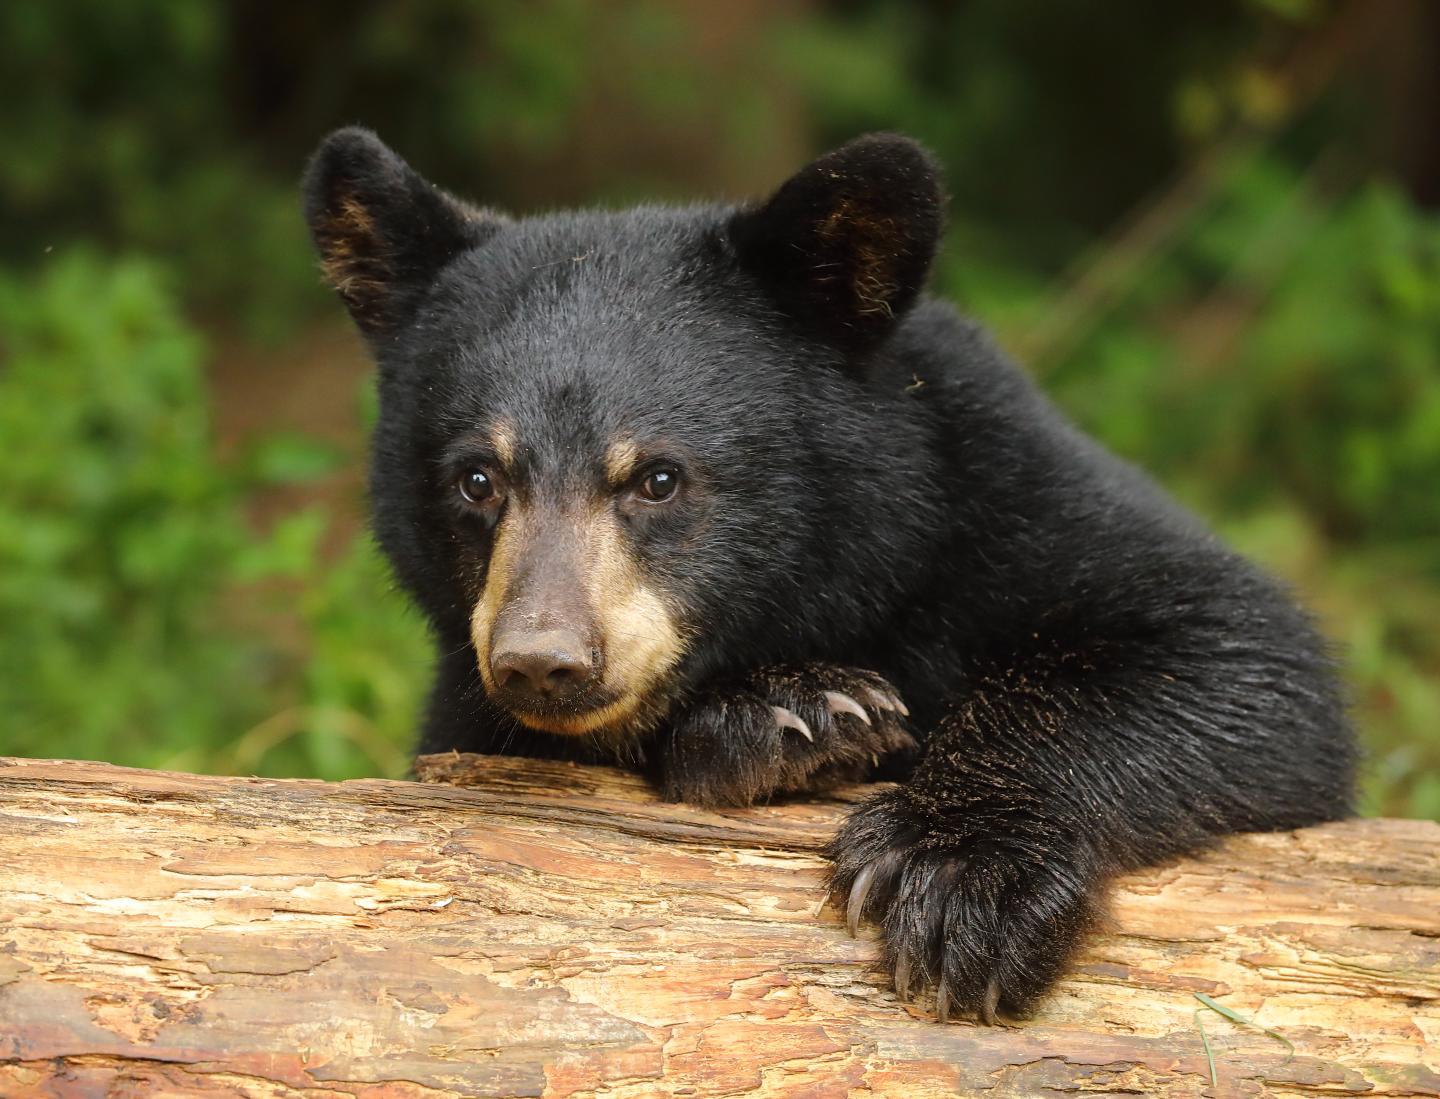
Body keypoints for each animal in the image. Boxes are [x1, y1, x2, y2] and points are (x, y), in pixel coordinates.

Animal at [302, 127, 1356, 1023]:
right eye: (477, 478)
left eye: (658, 476)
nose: (543, 660)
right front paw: (795, 716)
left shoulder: (1002, 486)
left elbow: (1243, 656)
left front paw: (961, 876)